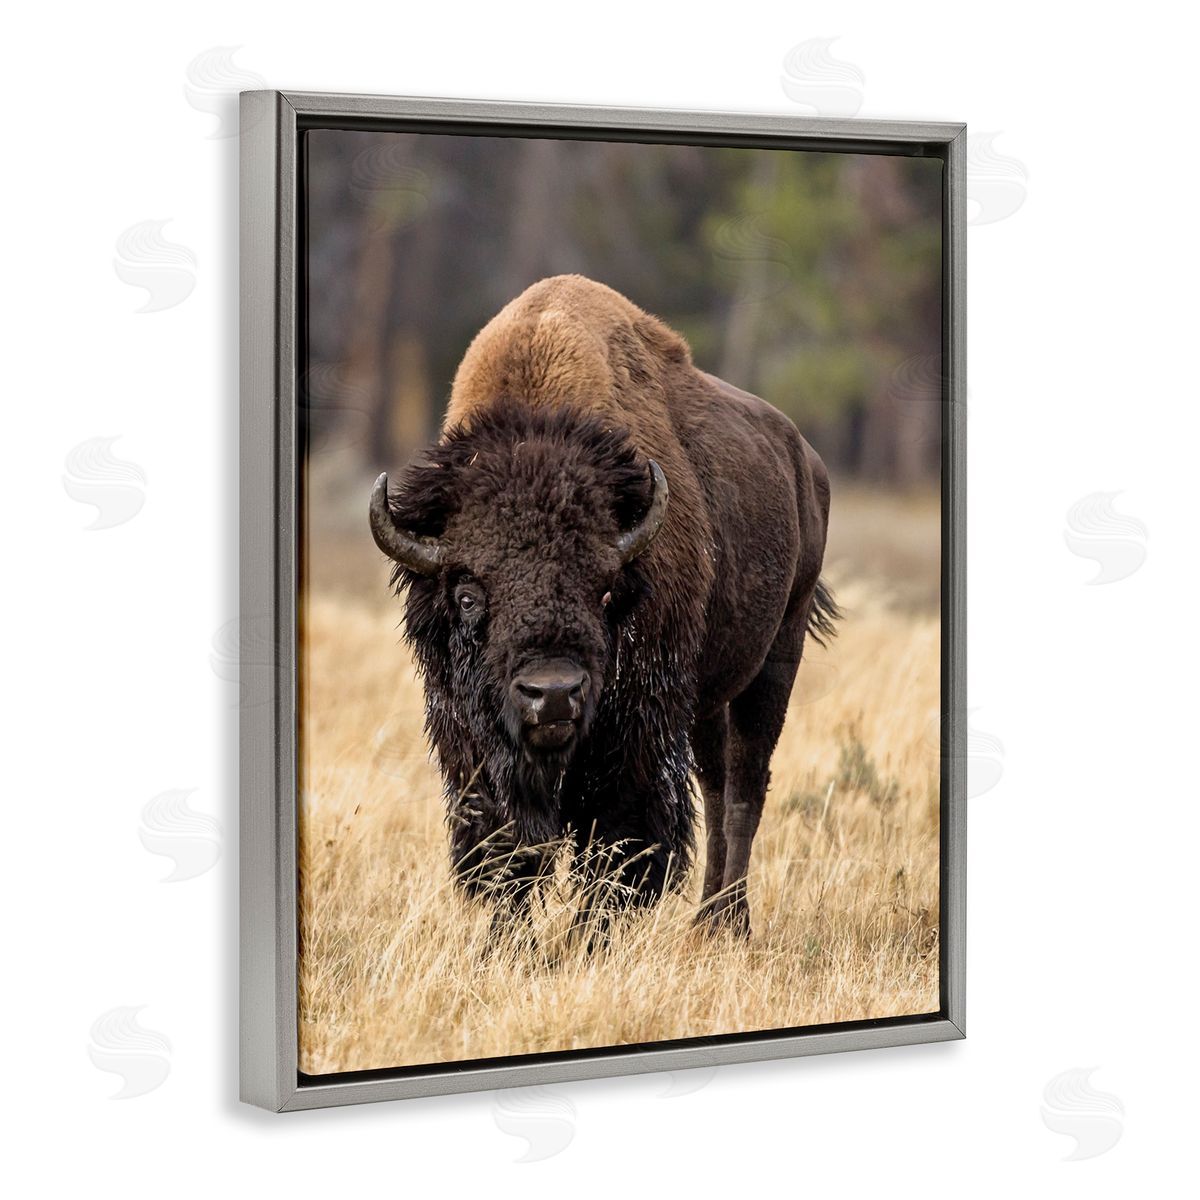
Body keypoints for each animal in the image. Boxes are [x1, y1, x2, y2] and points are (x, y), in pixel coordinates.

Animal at [370, 275, 835, 942]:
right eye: (467, 595)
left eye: (606, 590)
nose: (553, 694)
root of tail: (807, 463)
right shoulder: (473, 745)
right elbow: (511, 847)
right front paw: (511, 942)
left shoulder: (636, 733)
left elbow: (618, 846)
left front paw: (584, 940)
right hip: (707, 697)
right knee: (717, 785)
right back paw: (705, 920)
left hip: (777, 656)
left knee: (746, 788)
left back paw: (730, 924)